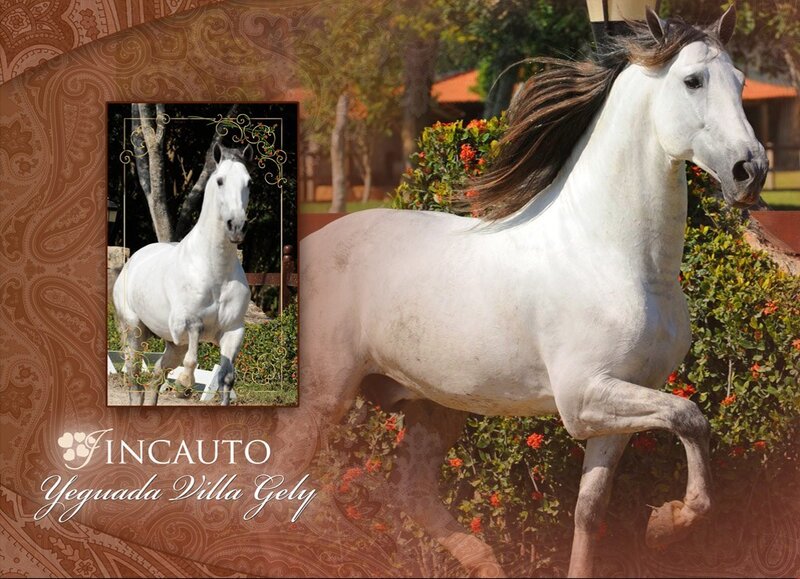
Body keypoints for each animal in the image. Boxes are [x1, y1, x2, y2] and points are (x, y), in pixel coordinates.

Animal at [113, 143, 253, 406]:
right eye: (220, 181)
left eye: (248, 182)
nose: (237, 227)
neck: (216, 273)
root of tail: (132, 261)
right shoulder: (183, 325)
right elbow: (193, 348)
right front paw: (184, 384)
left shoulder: (233, 331)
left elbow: (227, 378)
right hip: (135, 331)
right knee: (134, 374)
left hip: (172, 345)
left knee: (156, 375)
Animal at [297, 6, 767, 577]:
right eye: (692, 80)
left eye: (741, 82)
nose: (751, 170)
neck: (613, 257)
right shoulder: (583, 397)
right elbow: (691, 417)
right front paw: (667, 523)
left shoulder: (619, 406)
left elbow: (590, 511)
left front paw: (662, 523)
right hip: (321, 400)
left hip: (433, 403)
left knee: (412, 491)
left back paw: (482, 563)